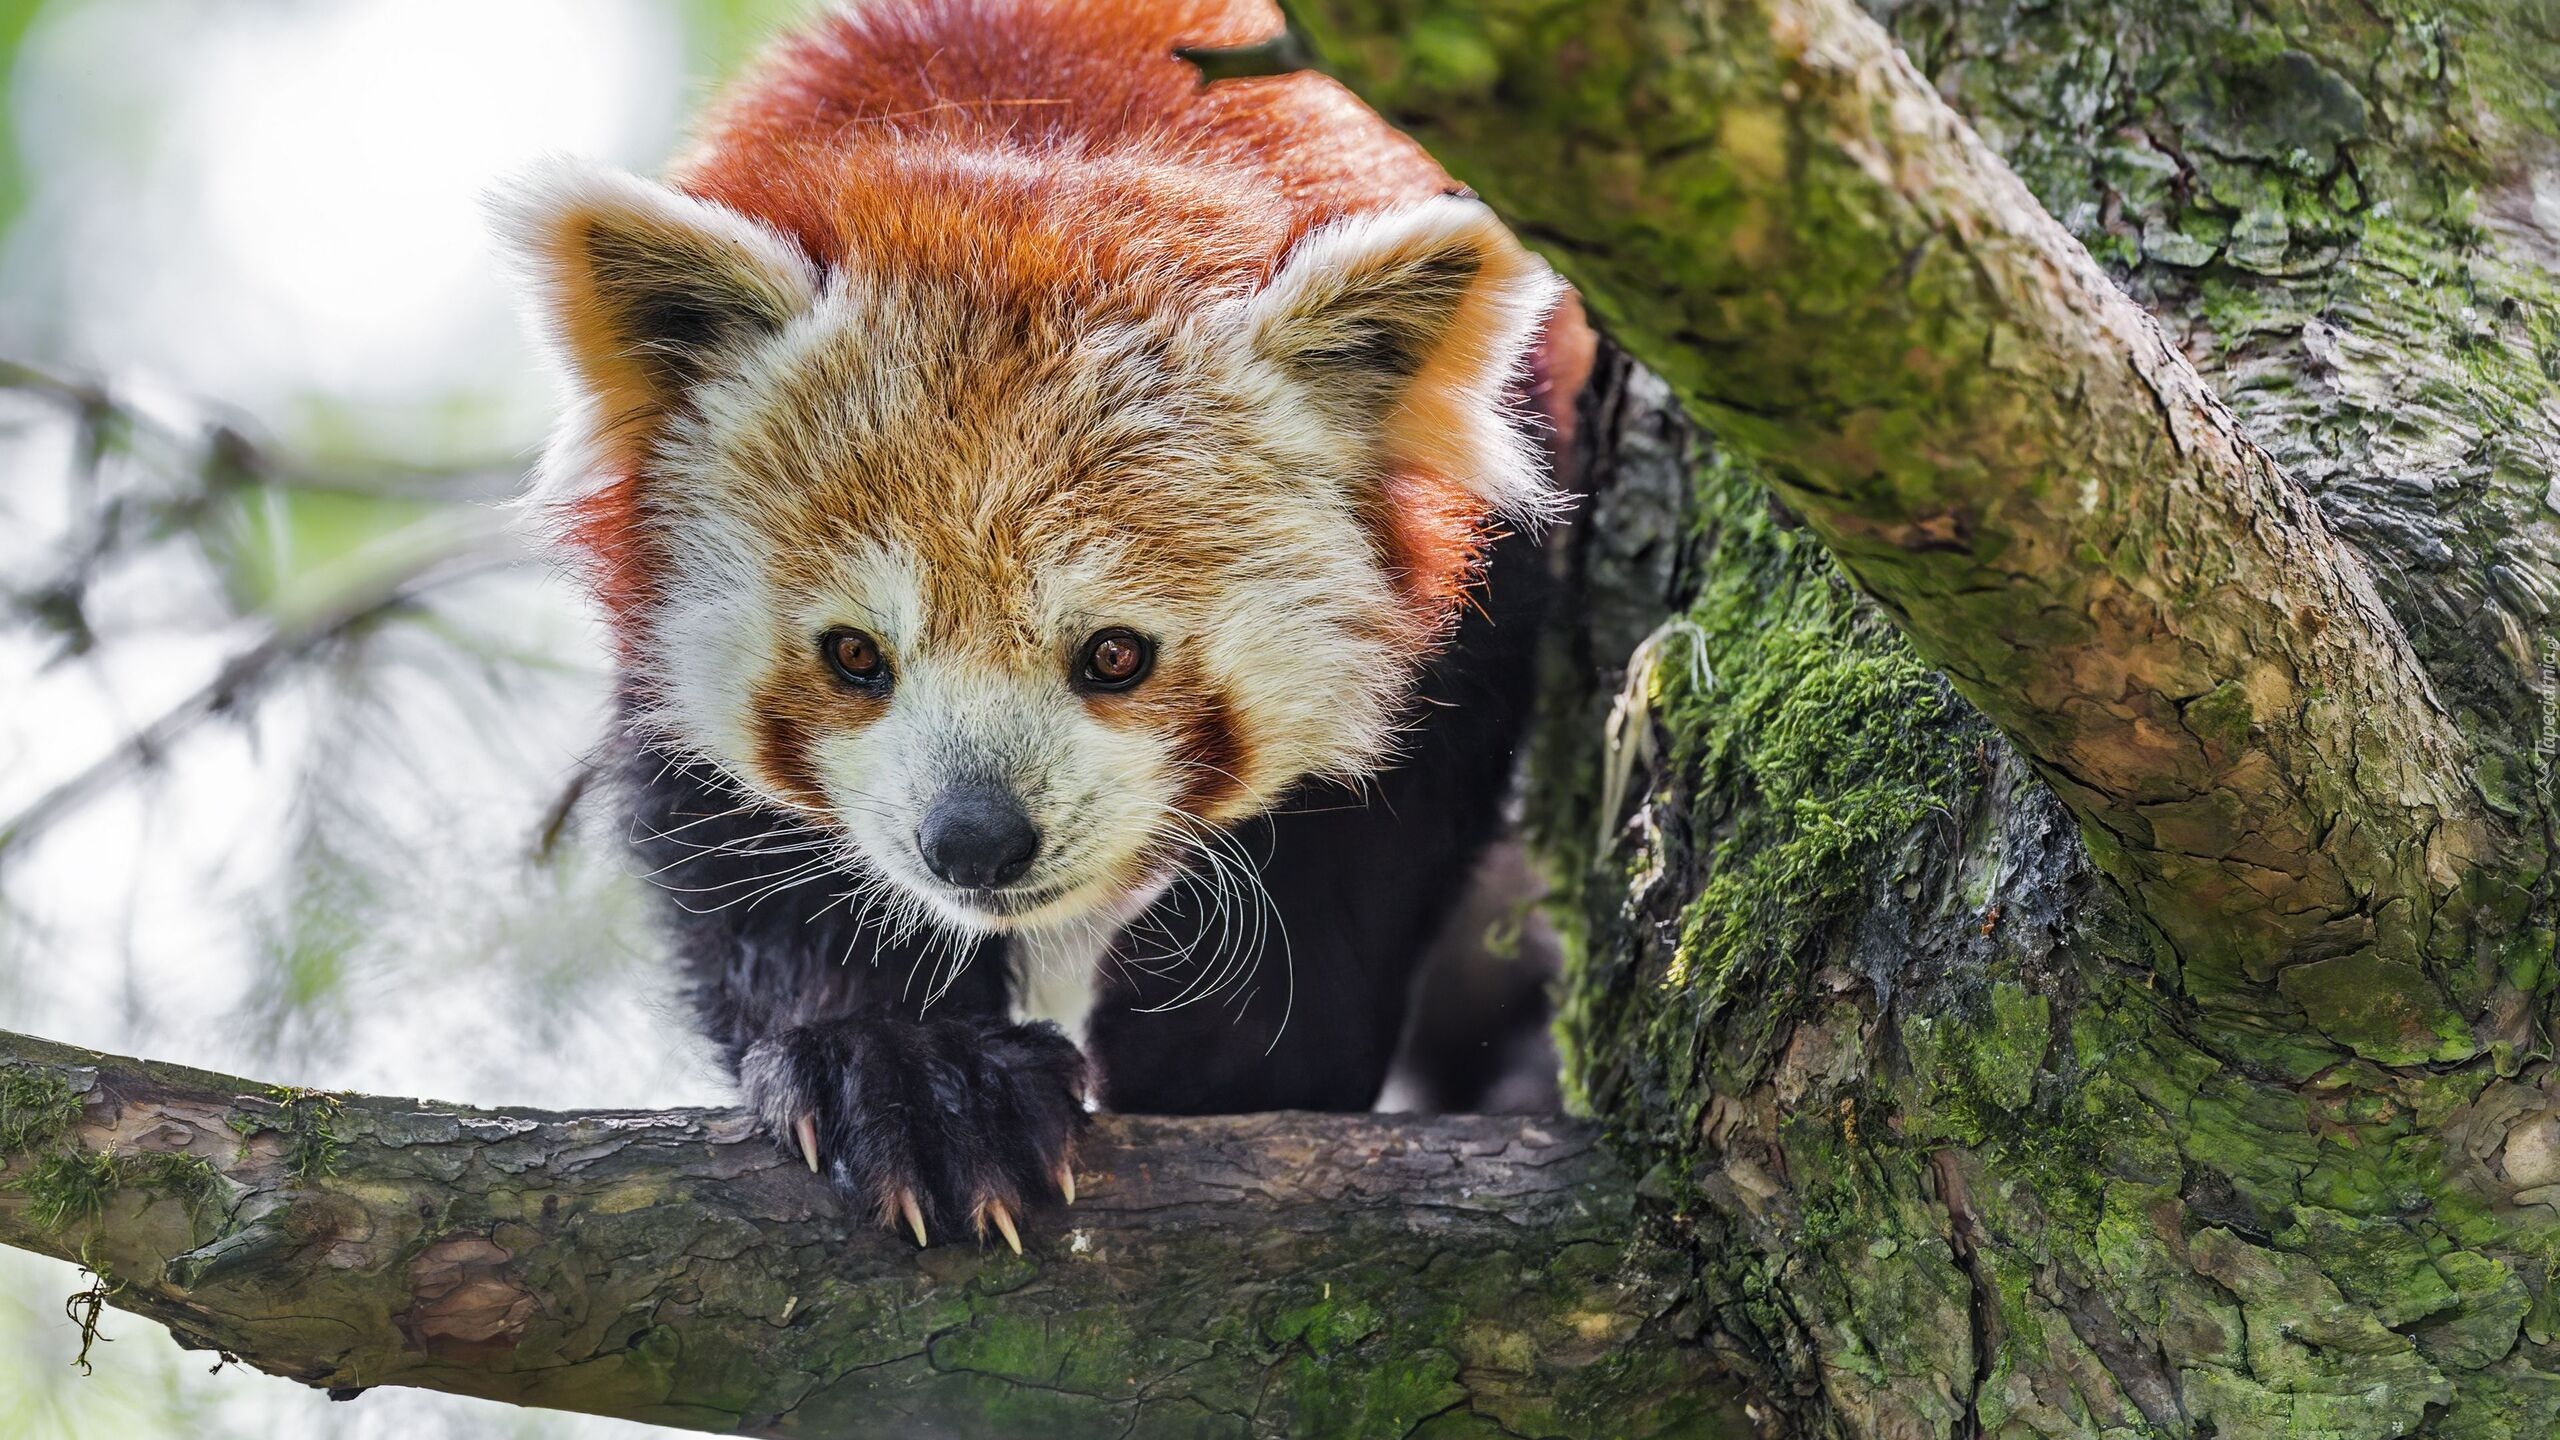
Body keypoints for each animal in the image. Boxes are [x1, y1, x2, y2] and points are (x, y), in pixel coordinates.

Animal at [491, 0, 1587, 1240]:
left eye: (1115, 654)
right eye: (854, 655)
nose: (974, 840)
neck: (1042, 125)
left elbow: (1382, 812)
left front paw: (1230, 1058)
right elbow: (731, 842)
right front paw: (907, 1066)